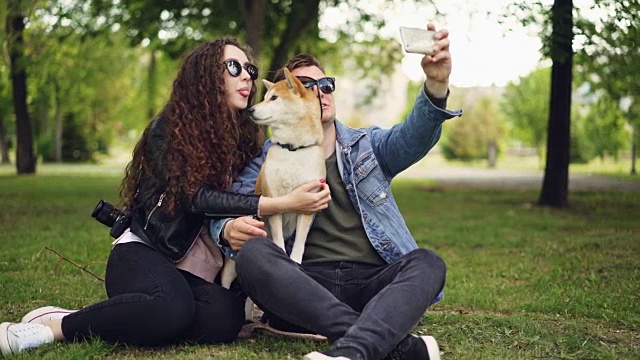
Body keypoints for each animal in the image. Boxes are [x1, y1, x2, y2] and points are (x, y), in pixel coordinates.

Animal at [222, 67, 328, 318]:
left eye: (274, 98)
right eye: (265, 96)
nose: (250, 110)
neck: (293, 150)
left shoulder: (309, 207)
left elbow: (299, 241)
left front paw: (295, 261)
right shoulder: (275, 203)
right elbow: (279, 241)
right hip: (231, 264)